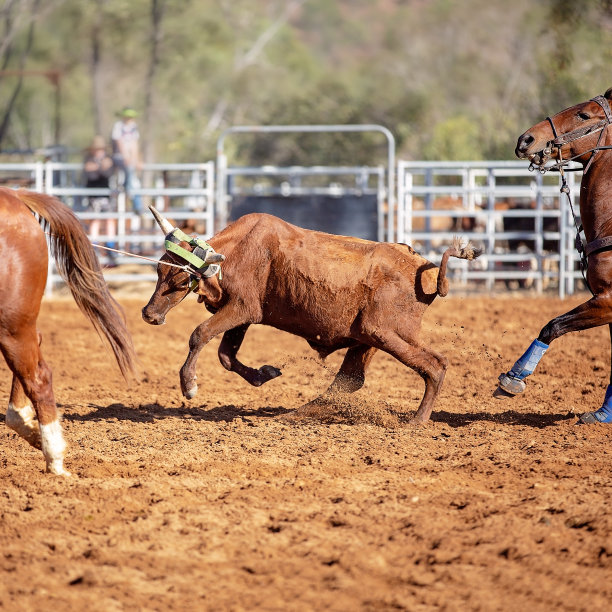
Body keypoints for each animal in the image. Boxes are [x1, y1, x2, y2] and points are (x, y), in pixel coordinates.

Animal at [145, 208, 482, 424]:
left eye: (179, 280)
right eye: (159, 269)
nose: (149, 314)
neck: (239, 249)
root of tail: (426, 267)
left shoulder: (242, 307)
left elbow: (200, 334)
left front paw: (189, 384)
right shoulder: (242, 314)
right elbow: (226, 355)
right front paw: (264, 374)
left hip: (385, 333)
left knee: (435, 365)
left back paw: (417, 420)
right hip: (367, 338)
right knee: (348, 381)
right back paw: (294, 415)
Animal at [494, 85, 612, 420]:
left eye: (583, 114)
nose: (526, 140)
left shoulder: (607, 300)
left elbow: (552, 325)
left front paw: (513, 378)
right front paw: (602, 414)